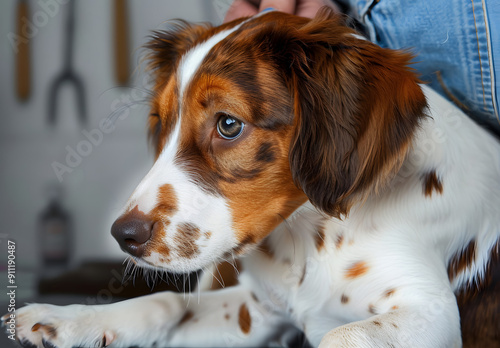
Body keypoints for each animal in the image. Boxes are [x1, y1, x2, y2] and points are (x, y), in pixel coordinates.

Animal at [4, 8, 500, 348]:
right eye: (162, 123)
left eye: (228, 124)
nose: (123, 236)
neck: (312, 236)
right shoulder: (256, 309)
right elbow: (167, 301)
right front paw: (64, 319)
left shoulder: (431, 312)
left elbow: (342, 335)